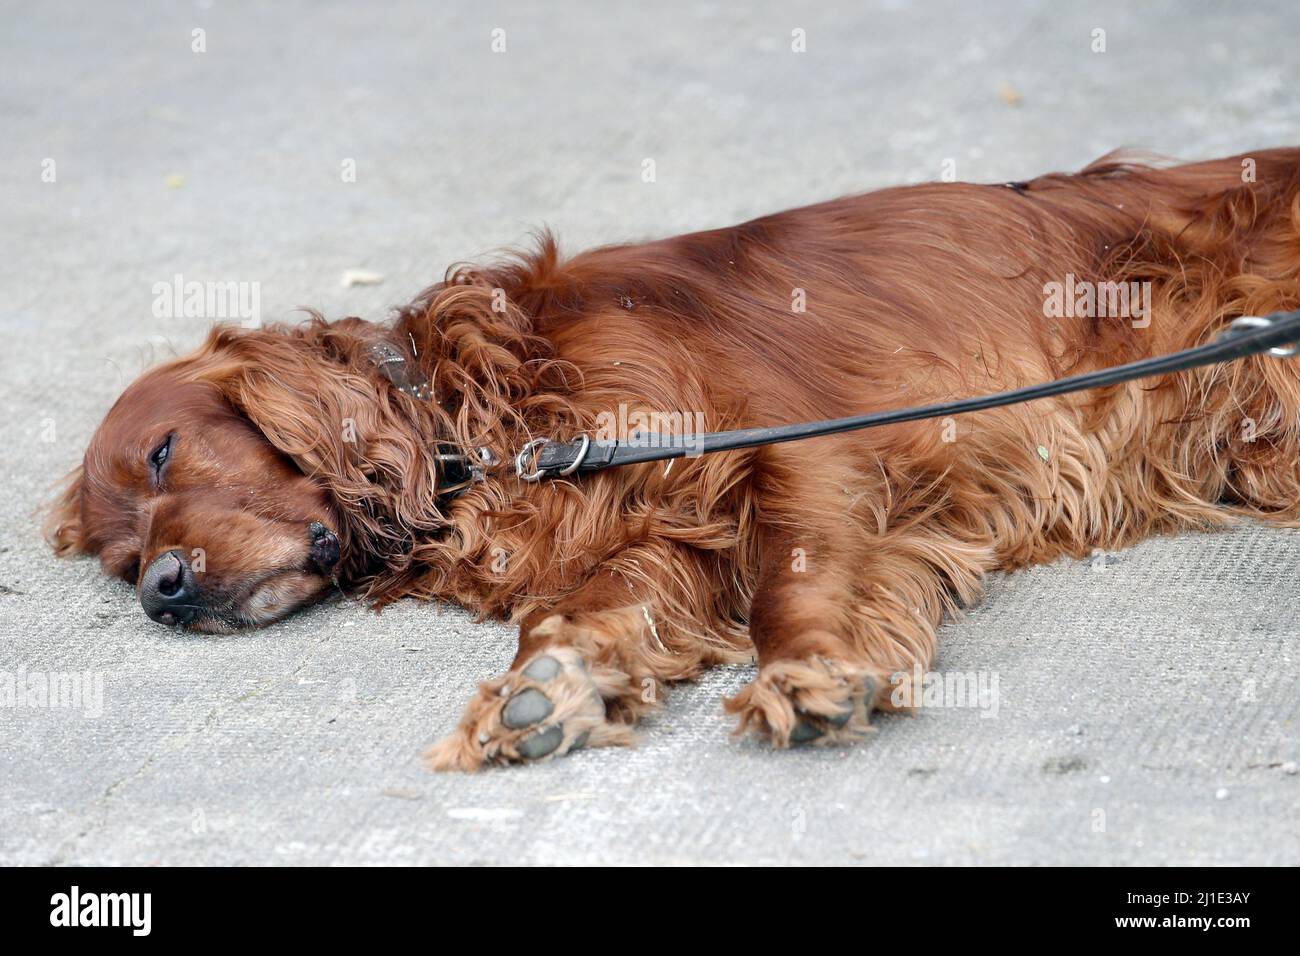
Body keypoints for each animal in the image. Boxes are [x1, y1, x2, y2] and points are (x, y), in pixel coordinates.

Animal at [45, 151, 1300, 780]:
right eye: (119, 558)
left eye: (166, 449)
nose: (161, 593)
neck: (473, 417)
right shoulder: (660, 529)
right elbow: (595, 605)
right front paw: (550, 686)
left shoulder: (790, 448)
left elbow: (794, 573)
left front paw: (810, 669)